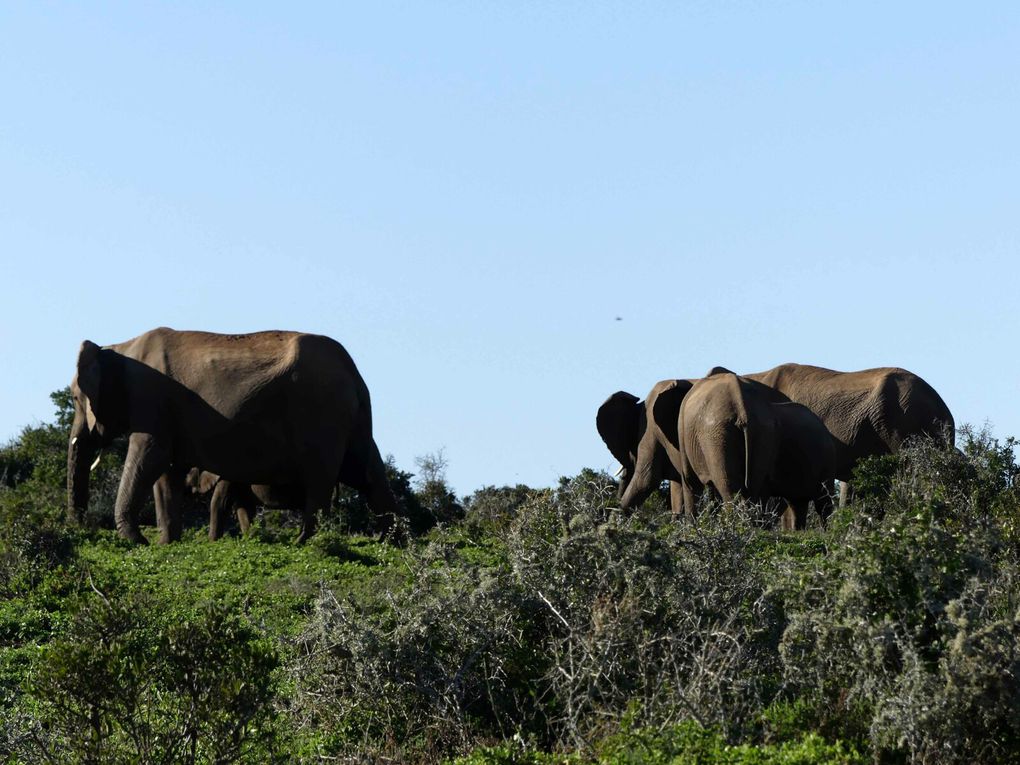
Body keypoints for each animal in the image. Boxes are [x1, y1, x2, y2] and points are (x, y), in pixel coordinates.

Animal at [65, 328, 395, 546]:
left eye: (77, 399)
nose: (81, 528)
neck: (119, 348)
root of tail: (353, 371)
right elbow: (168, 471)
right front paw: (166, 544)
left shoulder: (149, 398)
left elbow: (151, 457)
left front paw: (138, 542)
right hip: (348, 417)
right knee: (367, 471)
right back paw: (391, 541)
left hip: (322, 410)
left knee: (321, 477)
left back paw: (304, 542)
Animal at [677, 369, 836, 526]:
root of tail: (741, 406)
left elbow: (690, 483)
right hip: (762, 430)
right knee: (760, 492)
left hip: (718, 435)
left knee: (730, 491)